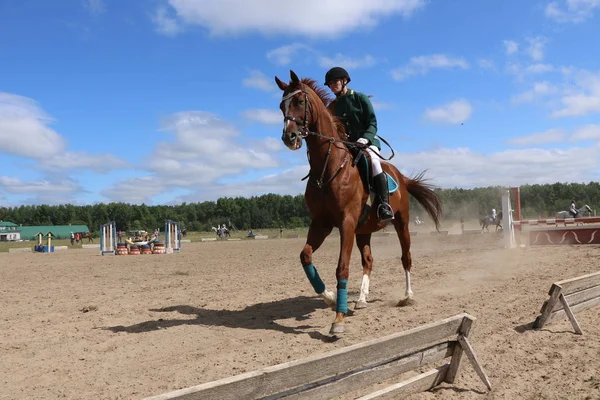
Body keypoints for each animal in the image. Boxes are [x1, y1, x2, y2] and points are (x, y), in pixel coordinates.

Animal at [276, 71, 440, 334]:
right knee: (368, 260)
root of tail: (400, 176)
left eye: (300, 102)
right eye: (281, 106)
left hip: (401, 223)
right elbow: (305, 256)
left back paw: (407, 296)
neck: (328, 166)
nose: (289, 137)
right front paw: (330, 298)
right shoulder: (321, 223)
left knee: (406, 257)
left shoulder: (347, 223)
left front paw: (338, 320)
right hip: (365, 230)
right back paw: (362, 299)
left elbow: (342, 267)